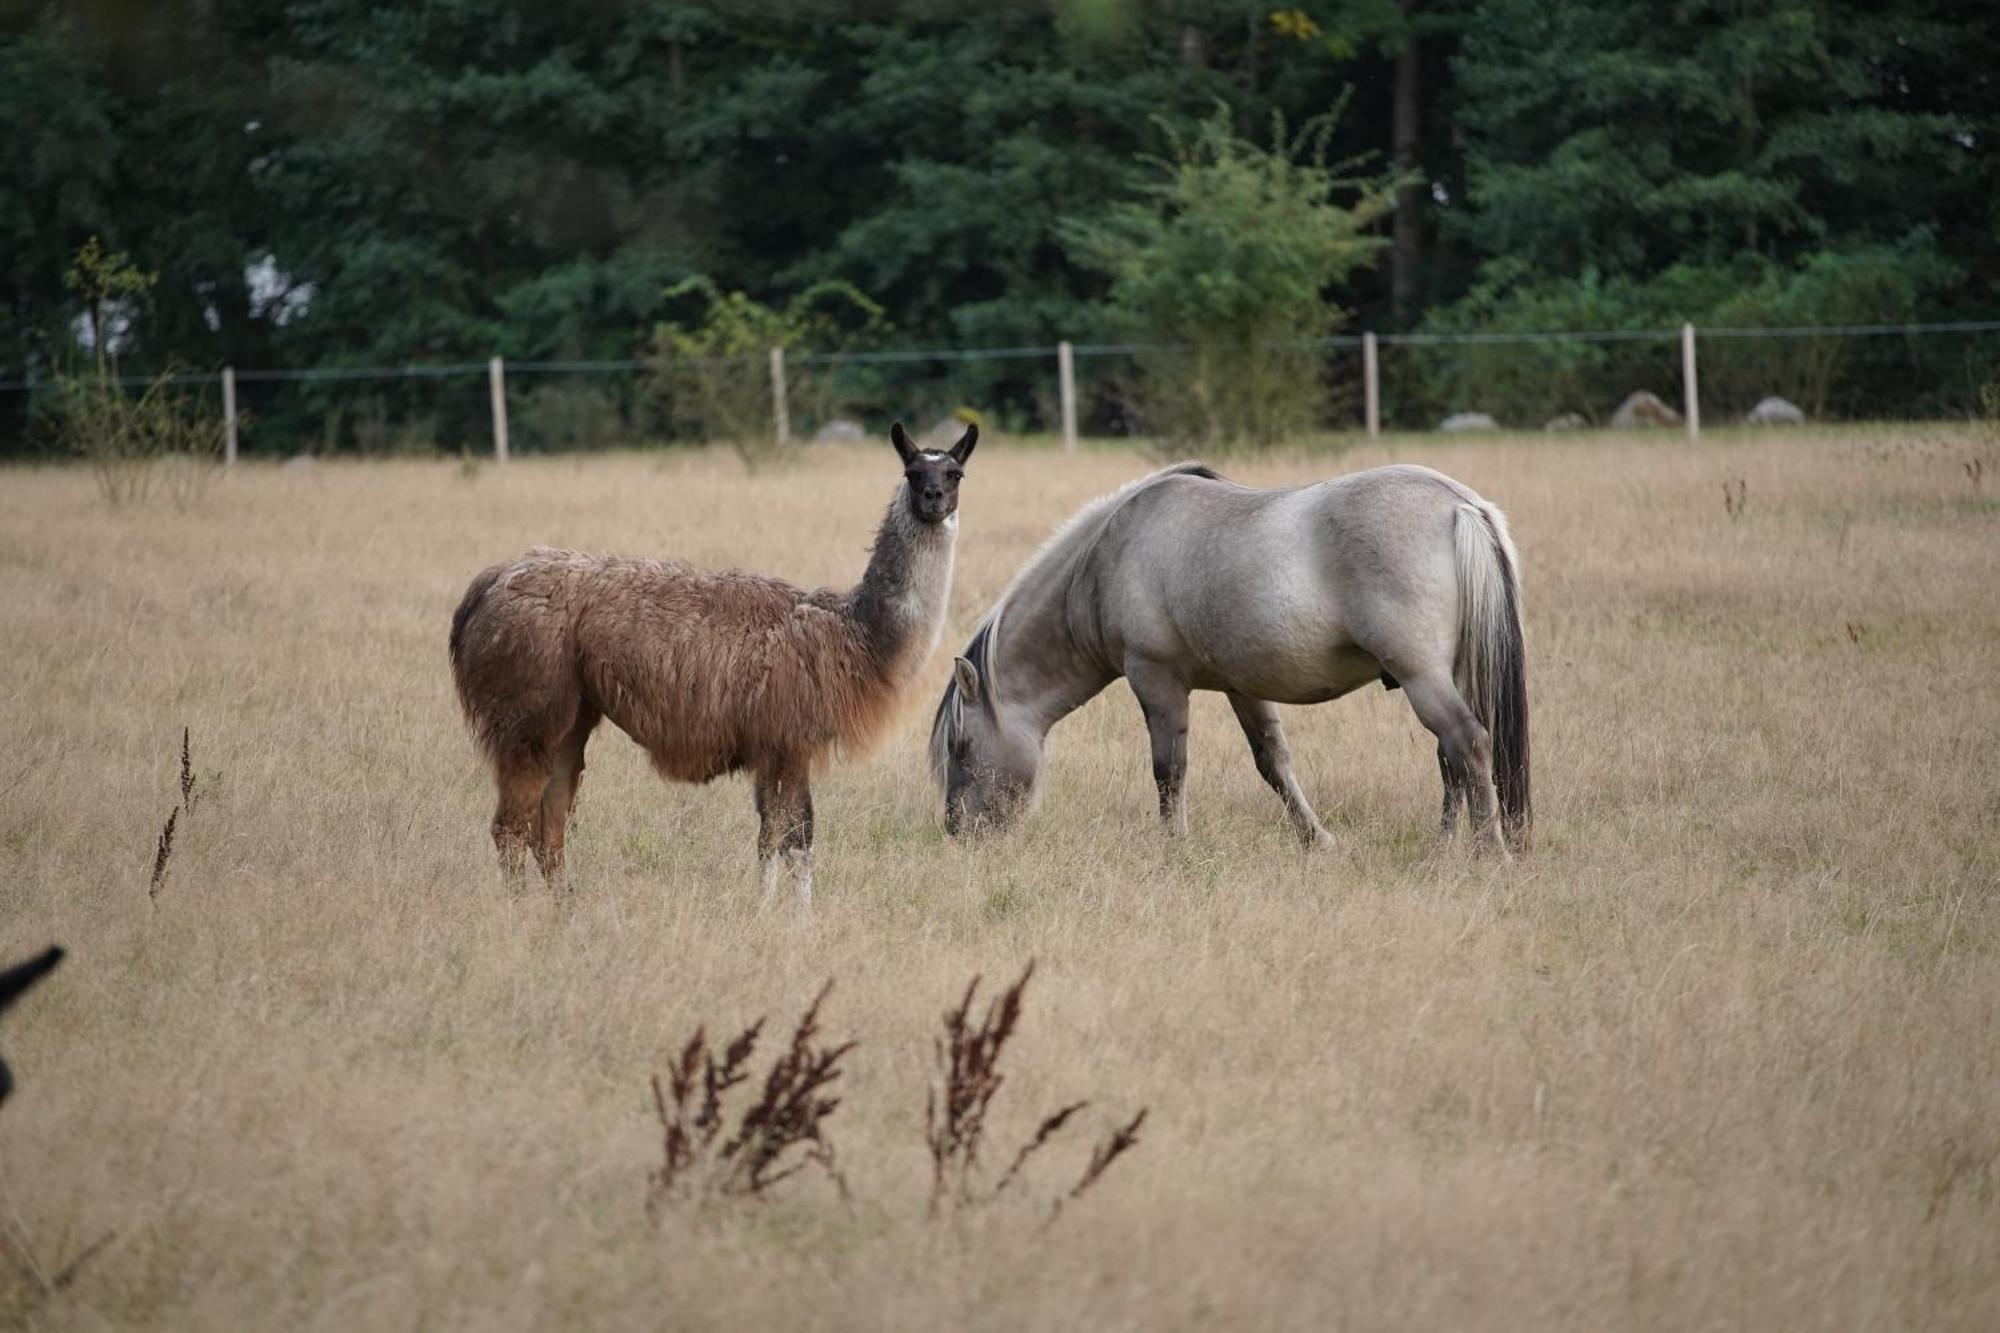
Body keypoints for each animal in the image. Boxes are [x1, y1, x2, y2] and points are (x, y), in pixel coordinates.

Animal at [456, 420, 984, 896]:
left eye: (955, 473)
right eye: (912, 472)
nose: (933, 498)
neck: (853, 633)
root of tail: (490, 582)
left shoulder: (772, 744)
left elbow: (771, 838)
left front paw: (764, 909)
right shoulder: (791, 738)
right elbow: (799, 838)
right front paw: (799, 921)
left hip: (572, 714)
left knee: (549, 825)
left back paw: (562, 909)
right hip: (526, 710)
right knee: (510, 827)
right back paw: (523, 914)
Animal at [932, 460, 1528, 852]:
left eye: (961, 747)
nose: (957, 831)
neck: (1104, 562)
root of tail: (1458, 503)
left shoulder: (1157, 681)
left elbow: (1169, 769)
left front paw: (1175, 847)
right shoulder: (1245, 688)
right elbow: (1273, 763)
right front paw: (1317, 840)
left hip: (1421, 675)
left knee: (1467, 743)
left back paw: (1487, 852)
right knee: (1451, 759)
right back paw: (1444, 848)